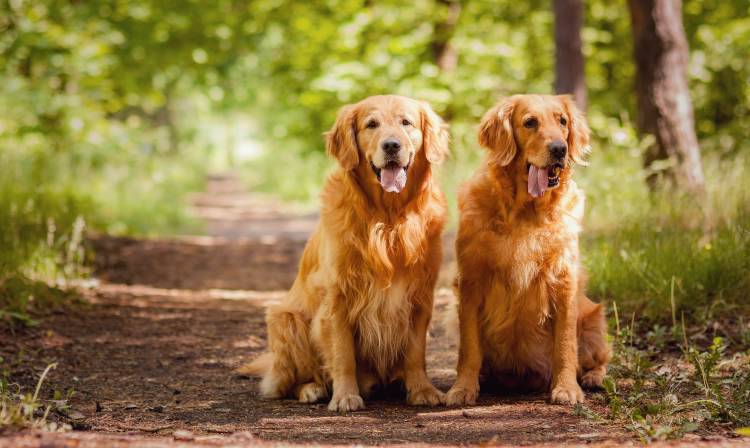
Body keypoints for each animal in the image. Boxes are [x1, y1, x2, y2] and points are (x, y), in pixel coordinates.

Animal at [244, 95, 450, 412]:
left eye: (406, 122)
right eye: (371, 124)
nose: (392, 146)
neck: (388, 218)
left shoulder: (420, 297)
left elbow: (416, 353)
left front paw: (422, 390)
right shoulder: (337, 297)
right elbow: (343, 355)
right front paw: (344, 396)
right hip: (285, 318)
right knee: (288, 381)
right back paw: (312, 388)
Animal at [446, 93, 612, 406]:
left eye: (562, 121)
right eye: (530, 122)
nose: (559, 149)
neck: (525, 212)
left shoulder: (564, 281)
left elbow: (565, 345)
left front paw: (567, 388)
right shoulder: (471, 282)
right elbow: (469, 347)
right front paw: (462, 388)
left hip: (593, 322)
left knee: (601, 359)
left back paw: (592, 378)